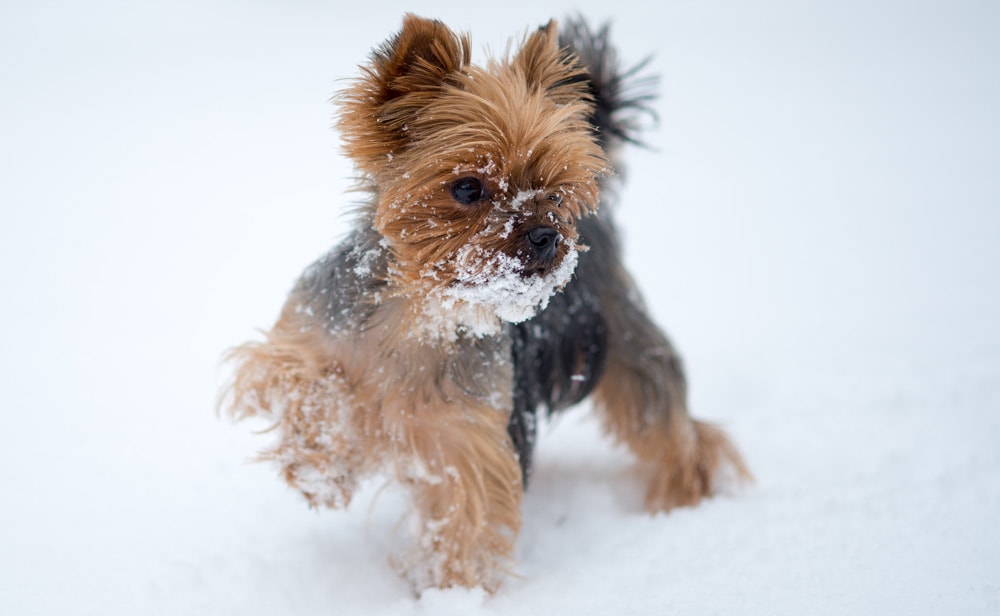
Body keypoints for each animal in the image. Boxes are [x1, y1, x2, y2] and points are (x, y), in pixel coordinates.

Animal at [223, 14, 748, 592]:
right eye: (468, 188)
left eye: (556, 191)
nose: (546, 235)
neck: (420, 314)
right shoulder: (298, 345)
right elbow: (307, 385)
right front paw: (322, 468)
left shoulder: (467, 439)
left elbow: (465, 518)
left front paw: (452, 590)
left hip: (625, 339)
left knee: (671, 423)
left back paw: (685, 501)